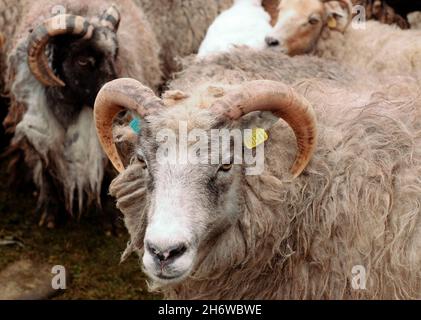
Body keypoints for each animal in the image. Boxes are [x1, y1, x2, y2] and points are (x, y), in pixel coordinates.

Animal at [2, 0, 161, 226]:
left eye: (114, 55)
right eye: (83, 61)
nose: (121, 111)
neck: (70, 110)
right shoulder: (39, 135)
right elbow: (46, 171)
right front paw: (49, 214)